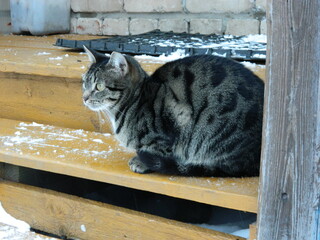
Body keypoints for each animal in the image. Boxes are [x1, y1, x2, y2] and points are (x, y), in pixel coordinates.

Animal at [82, 47, 264, 177]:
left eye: (99, 86)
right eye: (85, 83)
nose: (84, 98)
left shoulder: (175, 121)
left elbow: (158, 150)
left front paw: (141, 162)